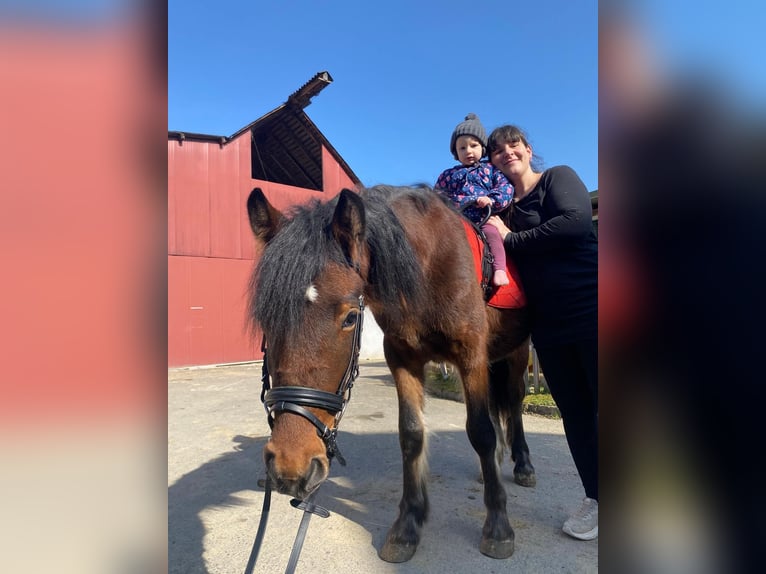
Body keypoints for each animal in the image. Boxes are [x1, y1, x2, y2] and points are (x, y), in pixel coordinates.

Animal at [246, 184, 535, 563]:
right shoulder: (403, 358)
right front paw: (407, 525)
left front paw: (498, 525)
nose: (289, 467)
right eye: (267, 318)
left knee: (513, 404)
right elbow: (411, 435)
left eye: (351, 317)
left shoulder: (471, 355)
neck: (428, 266)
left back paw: (522, 464)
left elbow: (481, 431)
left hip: (517, 353)